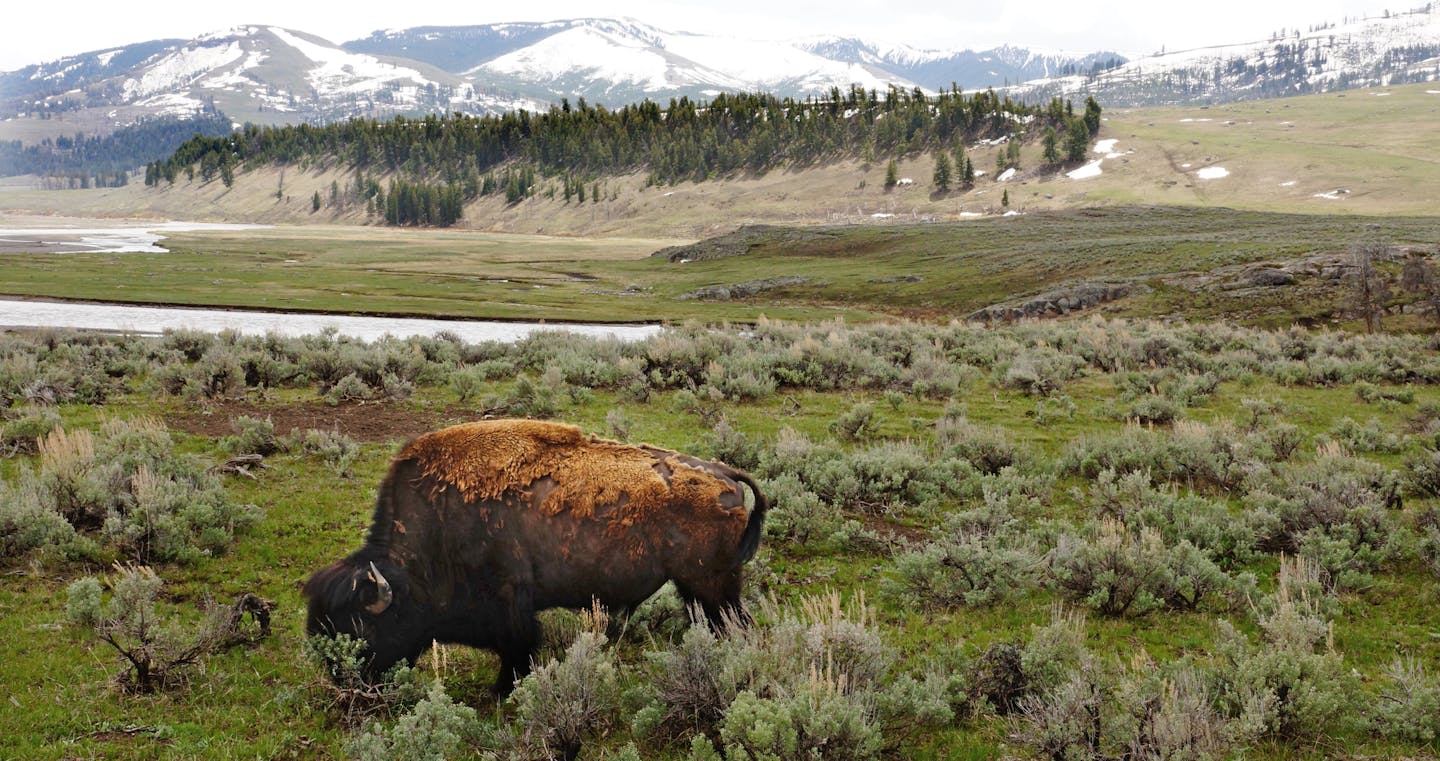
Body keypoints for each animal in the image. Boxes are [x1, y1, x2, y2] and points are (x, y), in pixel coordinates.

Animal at [306, 417, 766, 691]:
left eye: (360, 627)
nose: (345, 680)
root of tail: (726, 475)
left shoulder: (511, 604)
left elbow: (518, 648)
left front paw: (504, 690)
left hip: (713, 584)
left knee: (735, 623)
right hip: (696, 586)